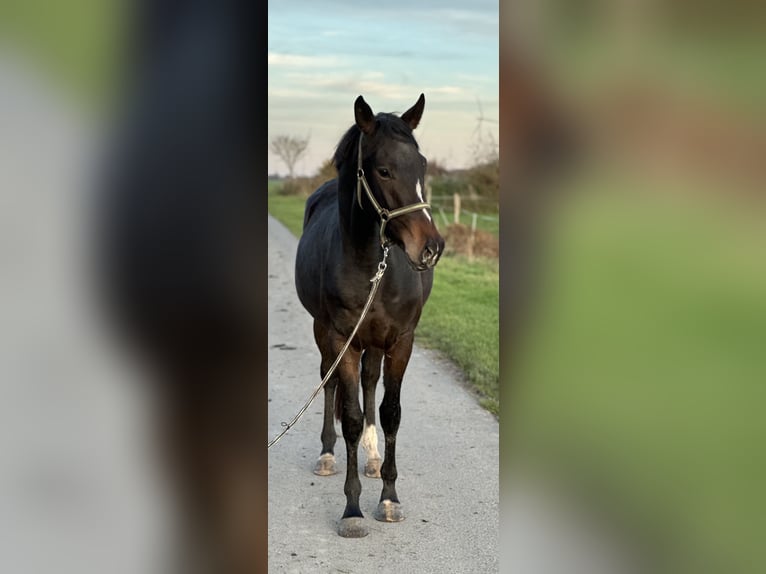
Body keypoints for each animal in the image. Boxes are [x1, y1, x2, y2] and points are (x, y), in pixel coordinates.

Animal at [294, 94, 445, 538]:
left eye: (422, 165)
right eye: (383, 170)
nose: (431, 248)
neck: (370, 264)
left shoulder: (401, 340)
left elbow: (390, 413)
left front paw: (390, 499)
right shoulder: (342, 338)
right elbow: (350, 417)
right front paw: (352, 510)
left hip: (375, 342)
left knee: (369, 382)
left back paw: (374, 457)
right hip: (325, 333)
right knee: (330, 384)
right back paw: (328, 454)